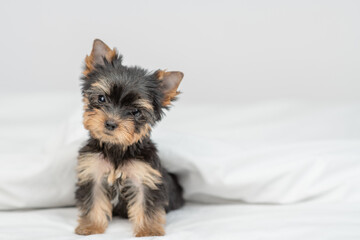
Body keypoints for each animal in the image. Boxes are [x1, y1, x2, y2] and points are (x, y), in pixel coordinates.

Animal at [74, 39, 184, 236]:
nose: (110, 123)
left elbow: (146, 204)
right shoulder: (93, 172)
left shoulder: (145, 177)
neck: (116, 148)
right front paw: (91, 226)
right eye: (101, 98)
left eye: (135, 112)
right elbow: (93, 199)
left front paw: (148, 231)